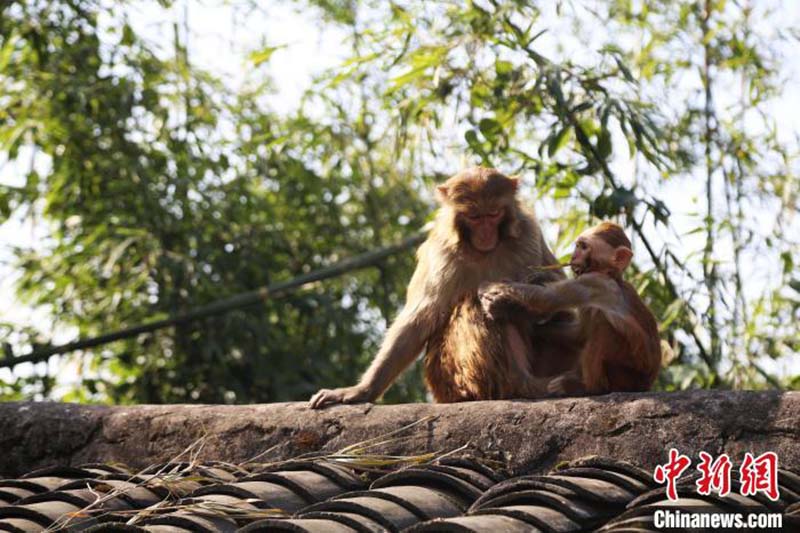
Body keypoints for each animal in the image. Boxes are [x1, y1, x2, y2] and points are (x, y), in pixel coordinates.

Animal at [308, 164, 568, 406]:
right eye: (474, 217)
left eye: (493, 214)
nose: (486, 235)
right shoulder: (442, 252)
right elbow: (419, 319)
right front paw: (362, 390)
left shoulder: (528, 233)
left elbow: (559, 291)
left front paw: (519, 299)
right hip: (448, 376)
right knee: (475, 301)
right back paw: (517, 383)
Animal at [482, 221, 664, 394]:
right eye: (578, 246)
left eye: (583, 247)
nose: (574, 255)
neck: (612, 276)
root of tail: (646, 385)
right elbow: (579, 334)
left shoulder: (594, 282)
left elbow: (547, 298)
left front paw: (501, 301)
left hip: (626, 376)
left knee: (603, 325)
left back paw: (587, 387)